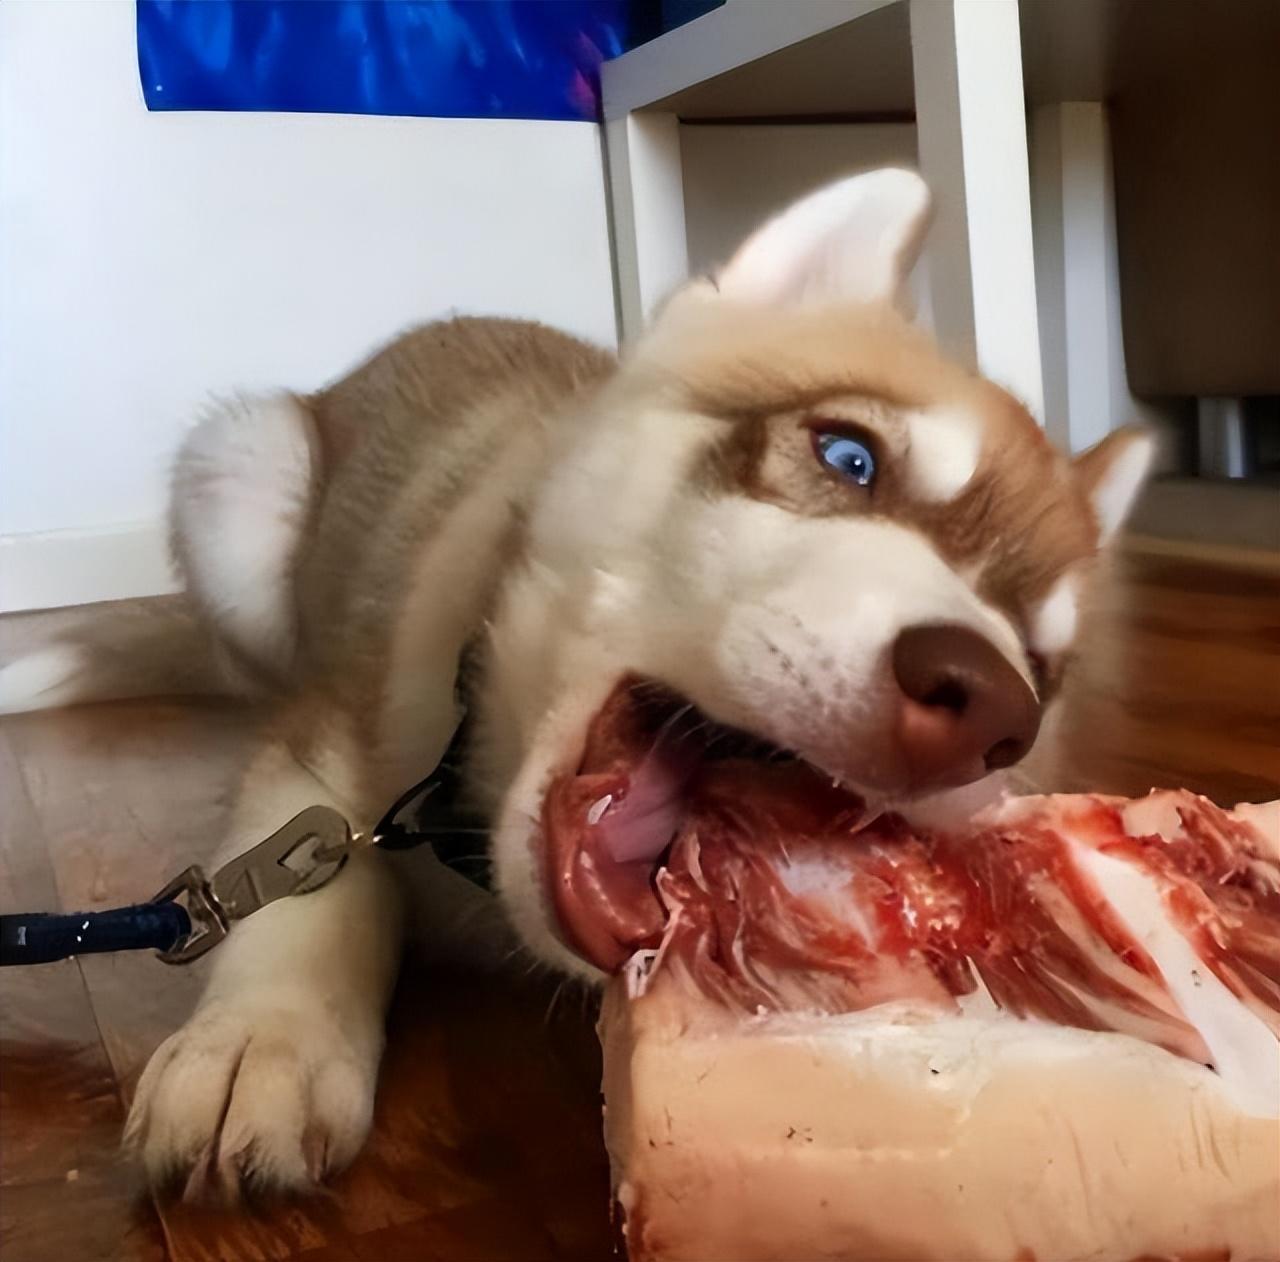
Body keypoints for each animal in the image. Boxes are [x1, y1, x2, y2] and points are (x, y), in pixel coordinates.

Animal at [0, 169, 1153, 1197]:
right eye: (846, 454)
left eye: (1040, 664)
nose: (985, 705)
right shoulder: (329, 729)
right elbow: (310, 865)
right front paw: (261, 1034)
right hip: (237, 472)